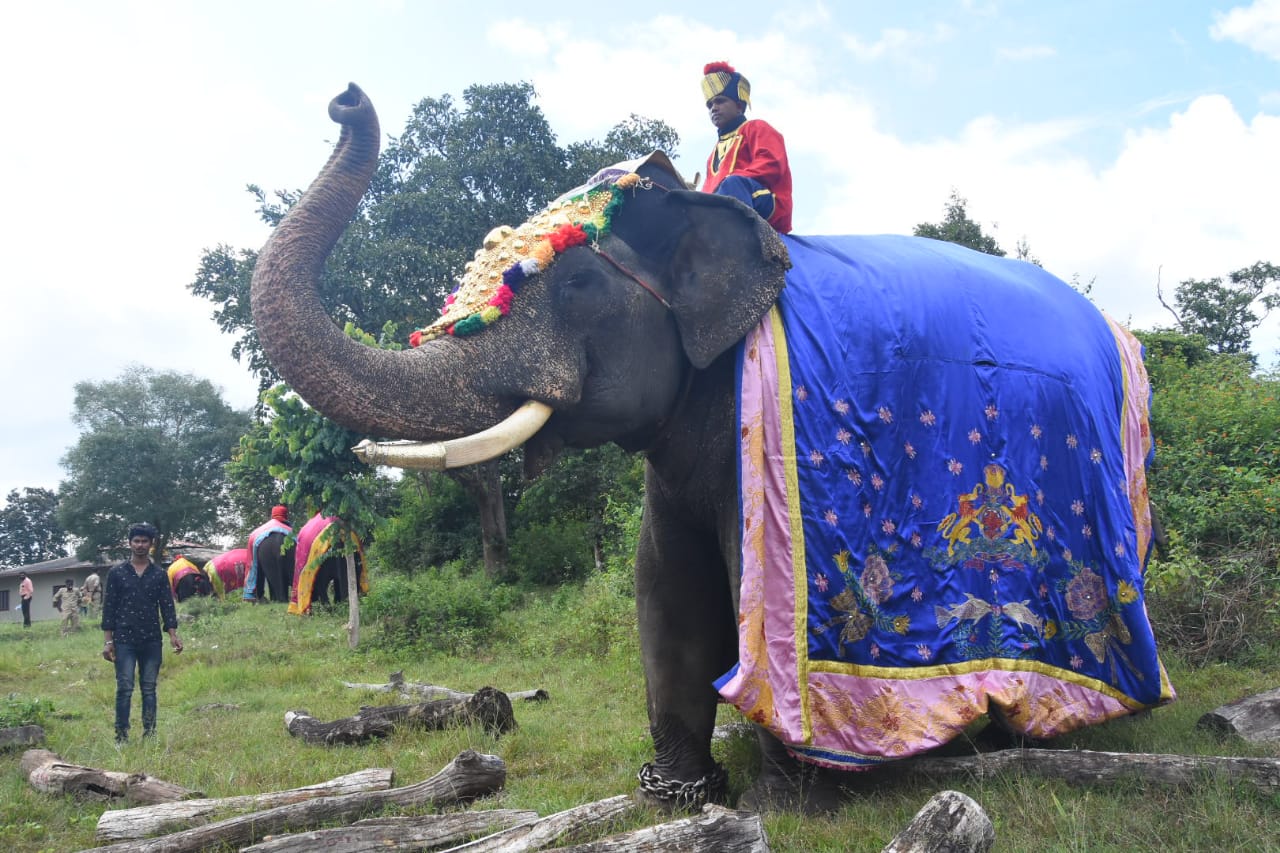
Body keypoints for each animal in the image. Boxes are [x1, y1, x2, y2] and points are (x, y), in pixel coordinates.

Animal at [247, 86, 1172, 809]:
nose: (345, 98)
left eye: (575, 284)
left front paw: (789, 800)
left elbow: (733, 584)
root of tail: (1124, 339)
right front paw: (676, 795)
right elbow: (666, 588)